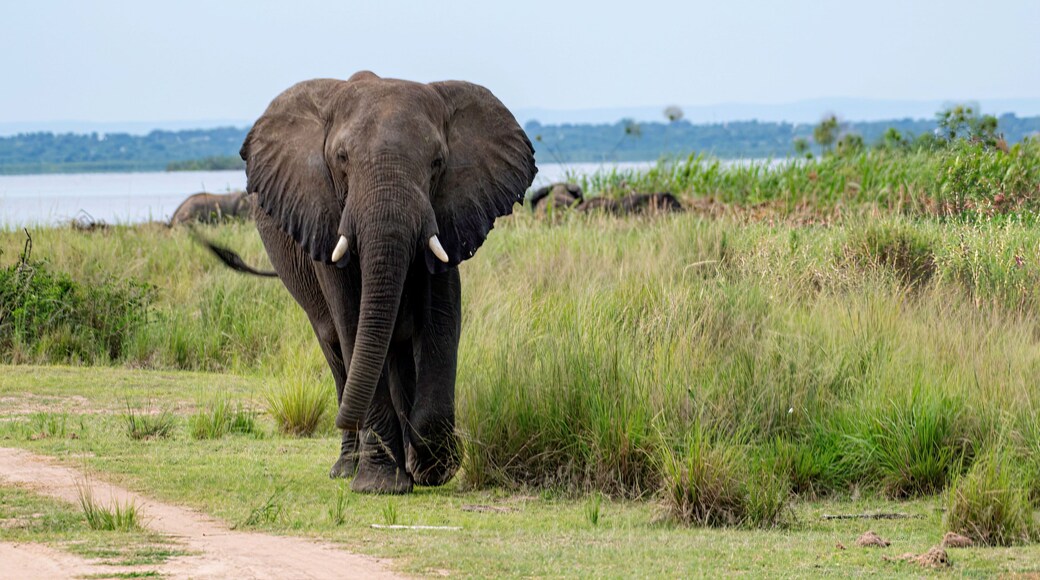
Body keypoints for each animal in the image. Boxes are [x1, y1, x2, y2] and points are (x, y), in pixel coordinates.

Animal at [202, 72, 536, 494]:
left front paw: (431, 467)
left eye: (437, 163)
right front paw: (381, 484)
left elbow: (442, 317)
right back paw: (349, 466)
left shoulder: (448, 213)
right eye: (341, 159)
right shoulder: (324, 212)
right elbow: (350, 318)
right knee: (338, 348)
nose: (343, 418)